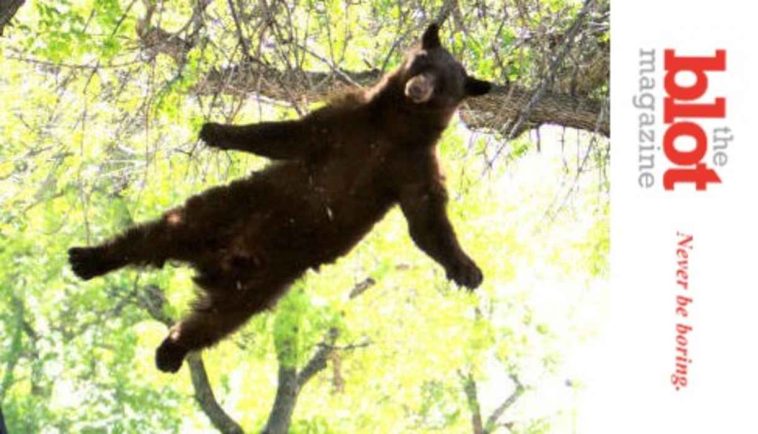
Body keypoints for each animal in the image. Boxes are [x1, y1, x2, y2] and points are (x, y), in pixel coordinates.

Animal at [68, 23, 493, 373]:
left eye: (445, 83)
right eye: (423, 62)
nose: (418, 87)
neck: (394, 126)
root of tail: (218, 261)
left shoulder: (413, 165)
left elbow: (426, 218)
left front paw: (467, 269)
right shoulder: (347, 120)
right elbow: (288, 135)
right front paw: (217, 131)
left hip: (265, 282)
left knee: (215, 320)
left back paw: (170, 351)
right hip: (228, 208)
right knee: (157, 234)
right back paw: (90, 258)